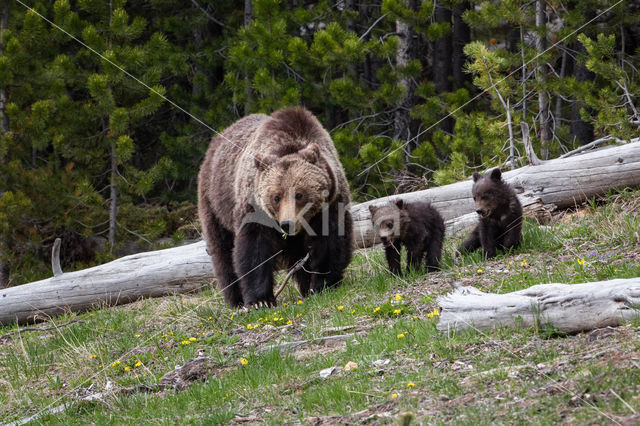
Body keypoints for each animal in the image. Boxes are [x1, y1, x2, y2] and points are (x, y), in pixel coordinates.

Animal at [198, 106, 356, 306]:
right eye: (276, 197)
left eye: (299, 194)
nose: (287, 224)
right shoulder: (254, 207)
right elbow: (254, 247)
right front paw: (260, 300)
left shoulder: (331, 203)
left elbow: (331, 241)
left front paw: (322, 285)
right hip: (216, 202)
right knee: (223, 250)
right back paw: (236, 299)